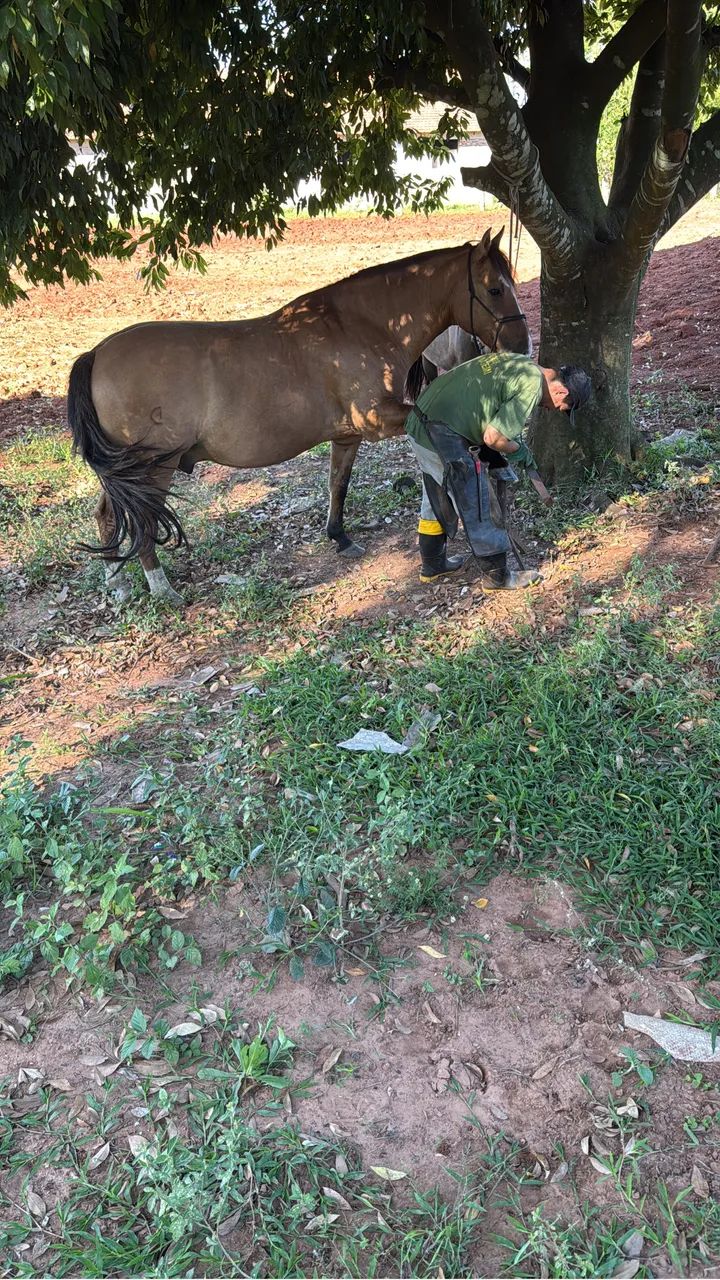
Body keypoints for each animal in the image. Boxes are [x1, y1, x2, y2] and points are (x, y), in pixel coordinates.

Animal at [68, 226, 530, 603]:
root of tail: (97, 353)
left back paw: (117, 583)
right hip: (153, 469)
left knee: (107, 516)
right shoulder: (381, 419)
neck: (361, 325)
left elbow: (338, 485)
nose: (521, 345)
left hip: (125, 473)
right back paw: (161, 588)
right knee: (141, 523)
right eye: (494, 289)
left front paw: (339, 537)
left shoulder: (347, 435)